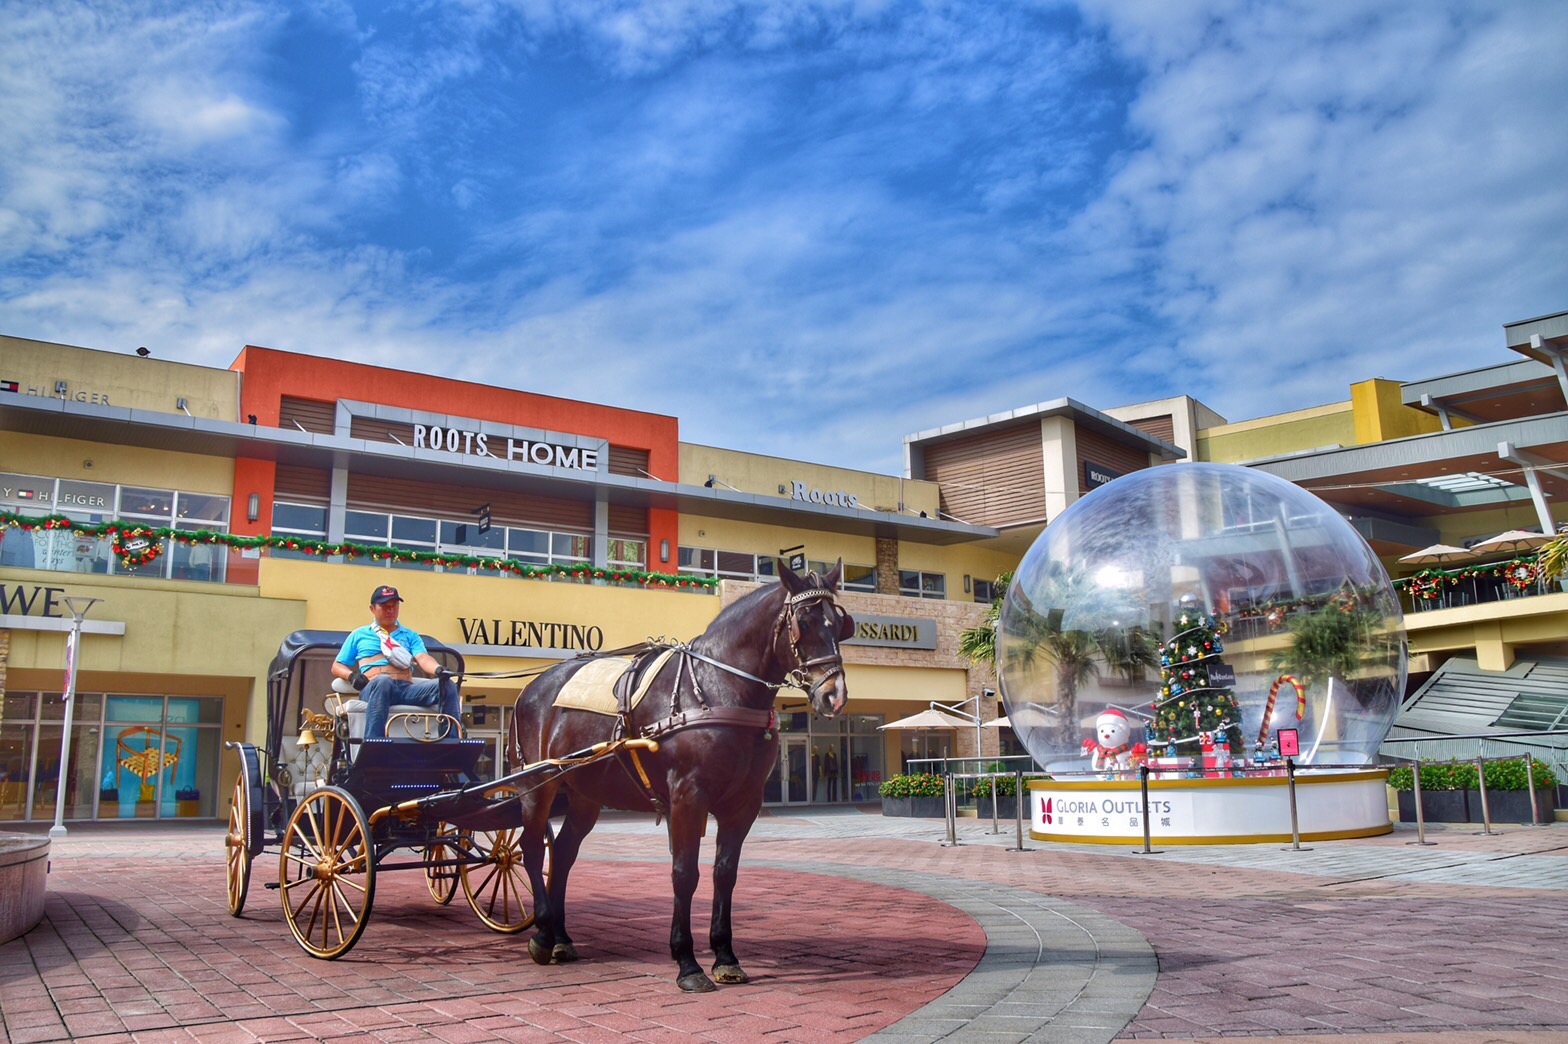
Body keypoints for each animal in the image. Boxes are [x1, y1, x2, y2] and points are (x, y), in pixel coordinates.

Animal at [508, 558, 852, 990]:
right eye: (803, 622)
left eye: (839, 624)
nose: (834, 695)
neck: (716, 689)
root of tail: (531, 687)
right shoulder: (689, 797)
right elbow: (684, 874)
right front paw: (687, 961)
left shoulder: (744, 804)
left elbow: (725, 874)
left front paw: (725, 956)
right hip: (537, 784)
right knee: (533, 848)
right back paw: (541, 933)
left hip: (585, 795)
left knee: (566, 854)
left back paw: (560, 937)